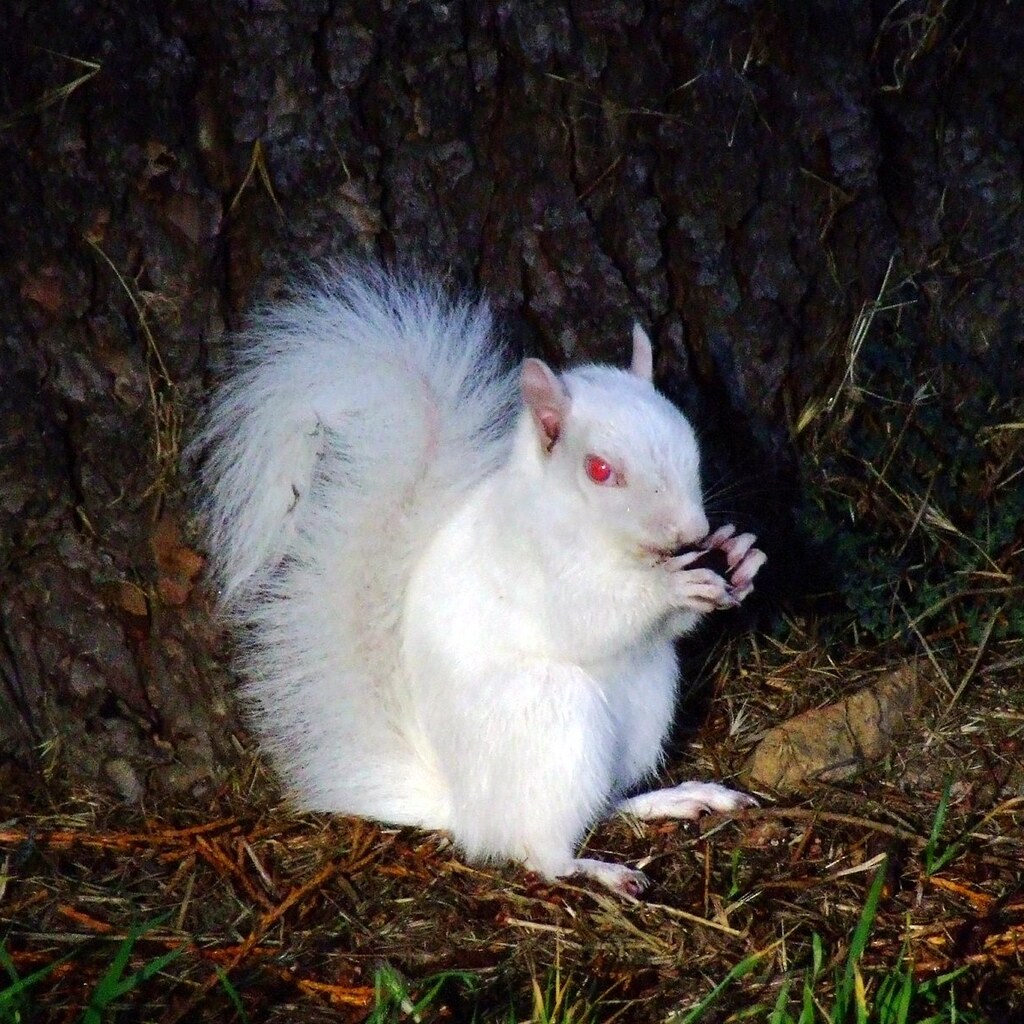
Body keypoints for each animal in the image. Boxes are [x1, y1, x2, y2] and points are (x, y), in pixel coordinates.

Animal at [194, 265, 766, 897]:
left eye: (690, 440)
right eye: (599, 470)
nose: (693, 531)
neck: (580, 525)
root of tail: (465, 808)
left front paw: (739, 558)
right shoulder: (531, 569)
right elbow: (592, 616)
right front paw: (672, 587)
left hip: (645, 705)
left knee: (602, 802)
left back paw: (670, 798)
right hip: (556, 716)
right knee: (539, 849)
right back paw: (597, 868)